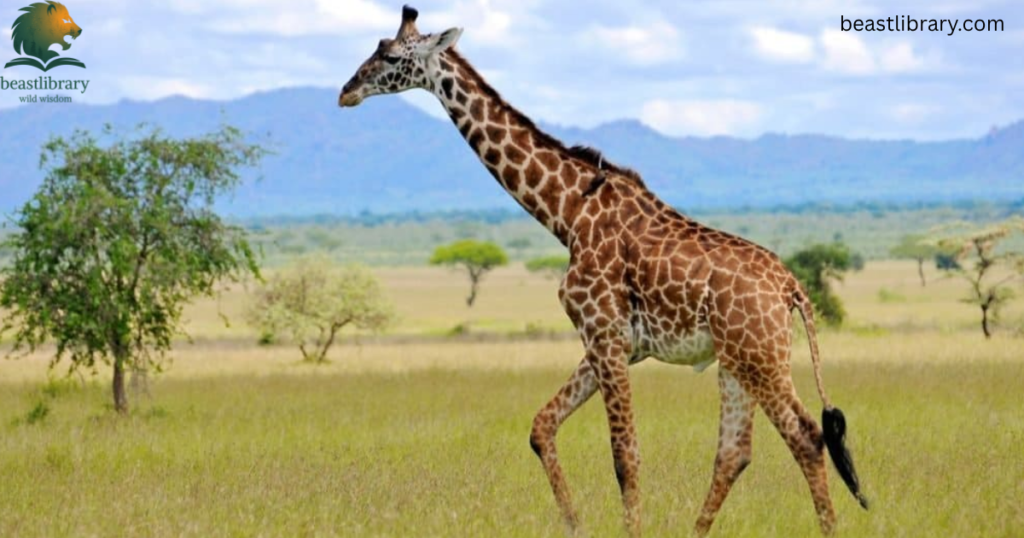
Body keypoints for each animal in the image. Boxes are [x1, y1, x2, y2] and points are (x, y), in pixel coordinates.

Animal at [338, 6, 868, 536]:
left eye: (391, 56)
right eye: (377, 46)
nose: (347, 91)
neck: (567, 213)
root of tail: (792, 287)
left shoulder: (604, 333)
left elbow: (625, 456)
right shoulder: (613, 343)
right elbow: (542, 426)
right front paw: (575, 524)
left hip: (760, 356)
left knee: (805, 436)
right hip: (737, 361)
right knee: (734, 453)